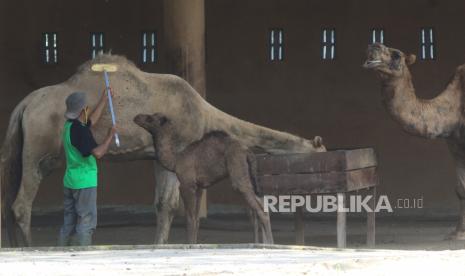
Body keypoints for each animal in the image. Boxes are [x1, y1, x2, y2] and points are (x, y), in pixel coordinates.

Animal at [133, 112, 272, 244]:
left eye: (150, 118)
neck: (176, 161)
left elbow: (190, 219)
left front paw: (189, 245)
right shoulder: (199, 187)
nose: (136, 117)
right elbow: (196, 220)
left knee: (258, 208)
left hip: (237, 165)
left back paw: (269, 245)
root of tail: (247, 151)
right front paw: (194, 244)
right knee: (261, 207)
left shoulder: (187, 185)